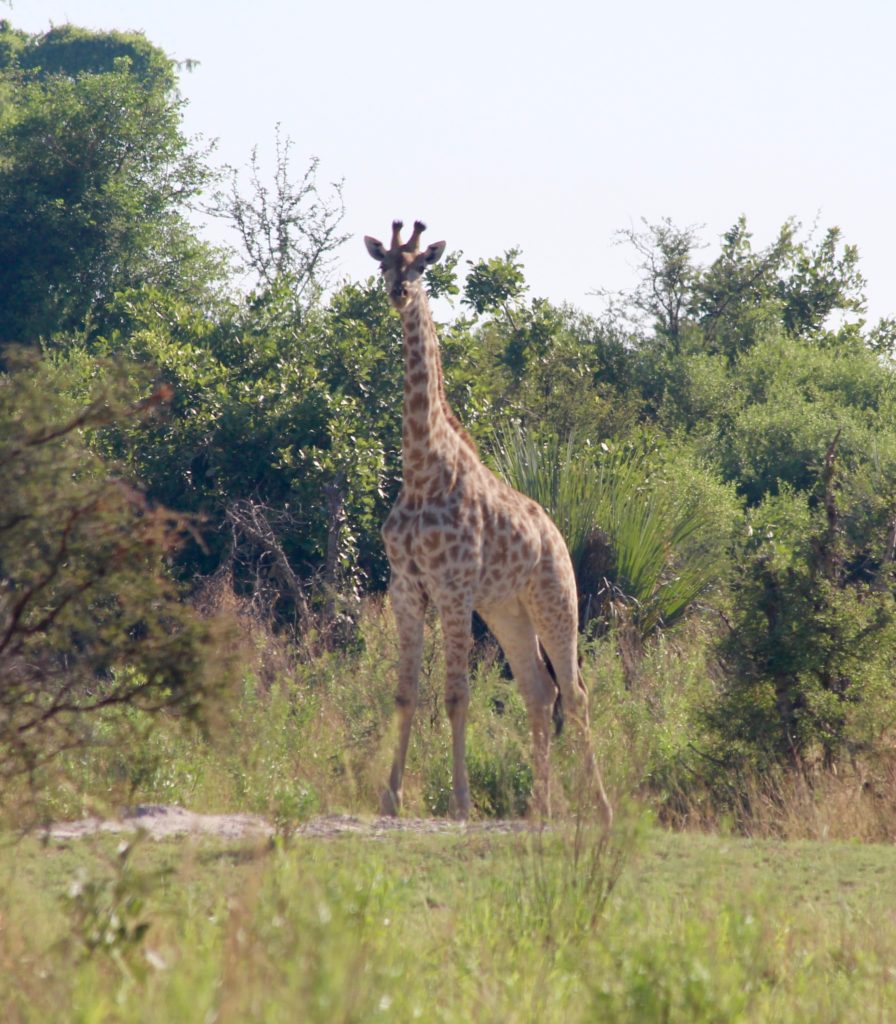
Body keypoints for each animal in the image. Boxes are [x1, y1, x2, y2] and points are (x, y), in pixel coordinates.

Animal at [364, 218, 610, 823]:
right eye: (385, 263)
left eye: (420, 265)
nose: (398, 292)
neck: (421, 469)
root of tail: (557, 536)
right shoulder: (407, 588)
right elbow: (405, 692)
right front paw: (390, 798)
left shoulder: (452, 587)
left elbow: (456, 694)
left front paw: (460, 802)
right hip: (507, 610)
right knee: (539, 692)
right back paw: (539, 808)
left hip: (557, 599)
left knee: (575, 693)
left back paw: (600, 809)